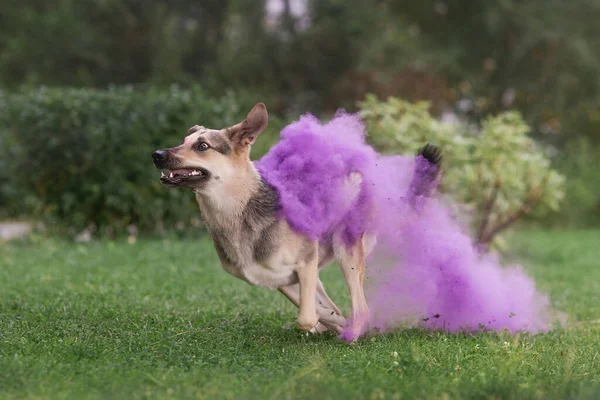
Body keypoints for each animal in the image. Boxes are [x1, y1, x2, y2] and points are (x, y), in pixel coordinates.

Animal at [150, 103, 440, 338]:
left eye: (202, 146)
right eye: (183, 140)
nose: (157, 155)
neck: (238, 210)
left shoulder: (306, 263)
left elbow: (307, 317)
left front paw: (337, 326)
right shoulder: (281, 280)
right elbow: (324, 311)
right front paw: (333, 324)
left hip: (345, 250)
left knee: (361, 308)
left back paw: (352, 333)